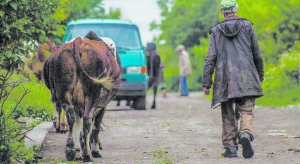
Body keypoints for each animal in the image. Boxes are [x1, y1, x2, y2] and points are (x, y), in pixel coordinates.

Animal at [43, 31, 120, 161]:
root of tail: (78, 41)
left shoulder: (77, 105)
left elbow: (77, 125)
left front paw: (77, 150)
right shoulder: (102, 105)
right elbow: (95, 126)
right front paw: (94, 150)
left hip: (64, 92)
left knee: (70, 118)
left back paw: (70, 150)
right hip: (91, 96)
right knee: (87, 121)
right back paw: (88, 155)